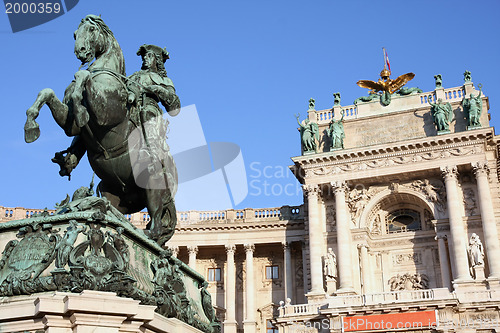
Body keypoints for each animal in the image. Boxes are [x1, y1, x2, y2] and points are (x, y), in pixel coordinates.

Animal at [24, 14, 180, 244]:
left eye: (91, 30)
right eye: (74, 33)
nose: (80, 51)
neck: (104, 72)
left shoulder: (106, 112)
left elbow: (83, 78)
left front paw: (81, 107)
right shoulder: (70, 124)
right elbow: (48, 92)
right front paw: (31, 127)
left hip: (152, 181)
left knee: (157, 219)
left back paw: (148, 234)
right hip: (112, 191)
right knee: (119, 210)